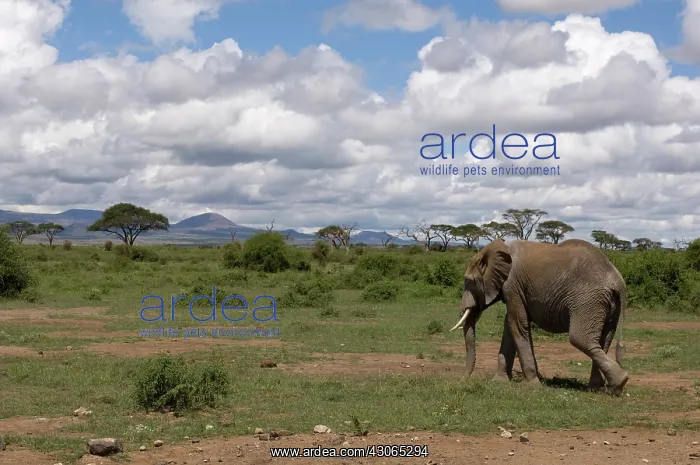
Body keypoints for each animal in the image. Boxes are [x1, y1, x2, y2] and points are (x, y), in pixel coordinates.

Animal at [449, 238, 629, 393]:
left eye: (468, 281)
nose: (463, 380)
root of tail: (618, 282)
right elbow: (510, 327)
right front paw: (500, 382)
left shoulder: (512, 285)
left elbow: (517, 324)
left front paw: (531, 385)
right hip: (608, 305)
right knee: (603, 340)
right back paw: (598, 388)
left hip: (588, 301)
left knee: (580, 339)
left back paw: (620, 382)